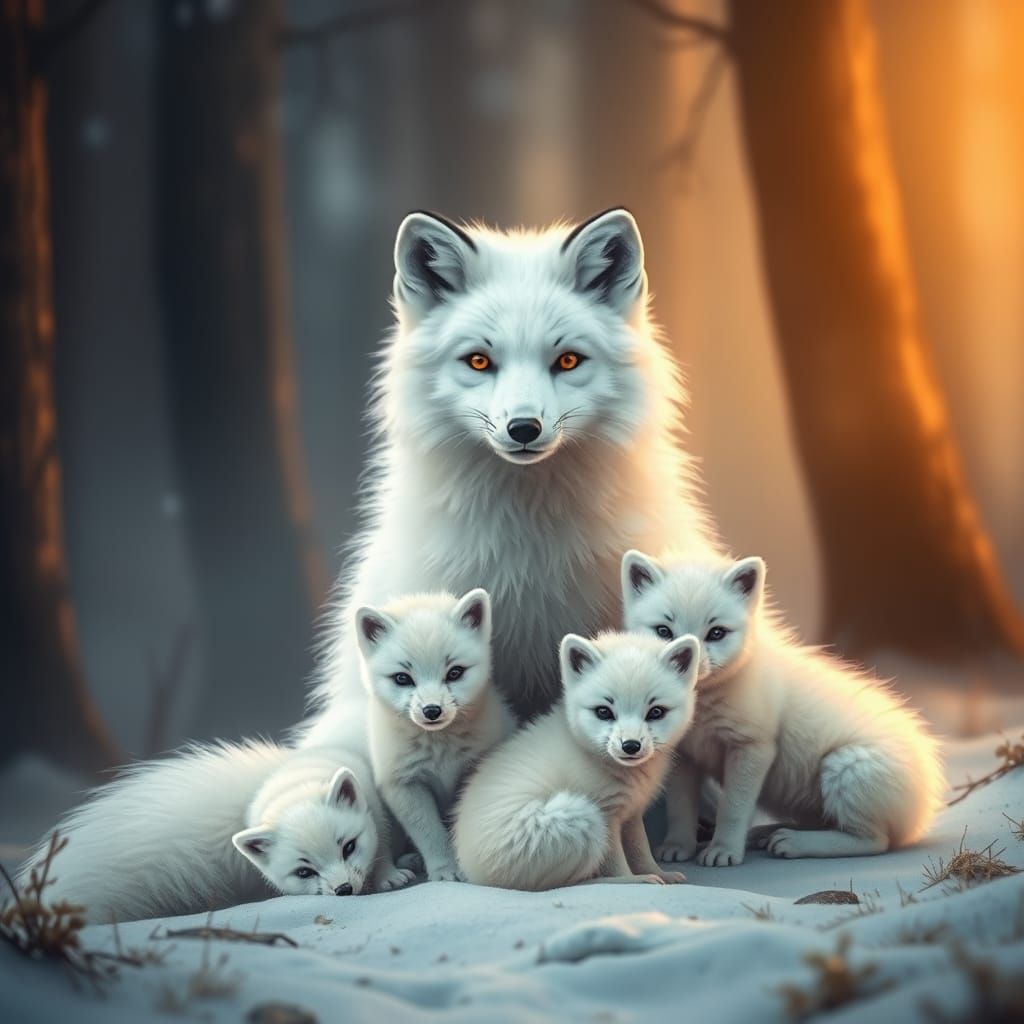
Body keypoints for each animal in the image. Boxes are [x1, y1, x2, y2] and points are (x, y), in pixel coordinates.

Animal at [17, 741, 412, 923]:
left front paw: (388, 875)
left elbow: (382, 843)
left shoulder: (376, 807)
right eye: (304, 871)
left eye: (348, 847)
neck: (293, 783)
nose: (344, 890)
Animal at [355, 588, 515, 882]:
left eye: (455, 673)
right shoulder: (404, 785)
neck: (440, 751)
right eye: (402, 678)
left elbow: (455, 825)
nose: (432, 711)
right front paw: (445, 870)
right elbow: (430, 834)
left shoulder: (470, 774)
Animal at [452, 631, 699, 891]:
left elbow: (641, 850)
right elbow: (616, 861)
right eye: (603, 712)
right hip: (582, 816)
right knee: (565, 883)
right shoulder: (607, 814)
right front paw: (634, 880)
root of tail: (473, 872)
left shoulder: (631, 813)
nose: (630, 746)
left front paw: (660, 874)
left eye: (656, 712)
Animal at [620, 550, 945, 864]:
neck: (703, 707)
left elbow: (733, 808)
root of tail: (923, 809)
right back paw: (768, 834)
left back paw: (794, 843)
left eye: (716, 633)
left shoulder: (753, 747)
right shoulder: (685, 757)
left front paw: (724, 850)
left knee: (874, 841)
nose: (689, 664)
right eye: (663, 630)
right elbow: (680, 808)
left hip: (845, 766)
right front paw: (679, 846)